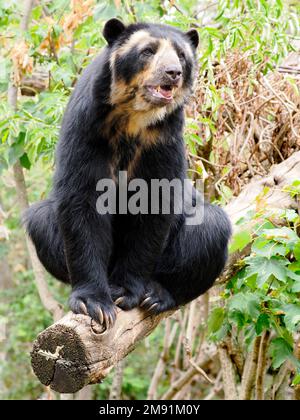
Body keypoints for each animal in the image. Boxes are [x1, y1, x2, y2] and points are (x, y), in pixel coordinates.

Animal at [25, 18, 232, 328]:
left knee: (211, 227)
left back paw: (158, 293)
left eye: (182, 55)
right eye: (147, 51)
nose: (173, 73)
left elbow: (155, 202)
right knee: (40, 220)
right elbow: (81, 200)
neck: (133, 119)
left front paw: (124, 291)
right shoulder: (86, 130)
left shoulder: (163, 140)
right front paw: (93, 303)